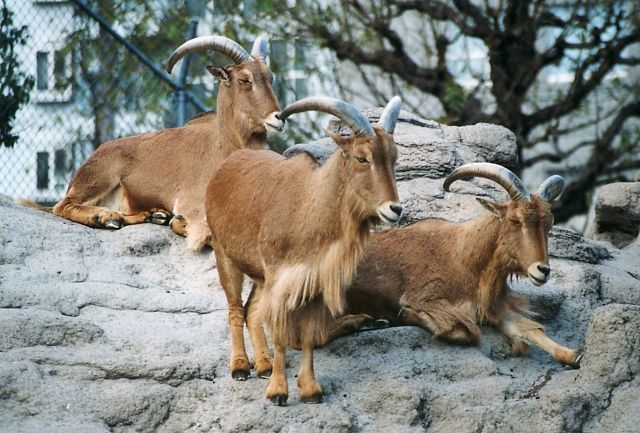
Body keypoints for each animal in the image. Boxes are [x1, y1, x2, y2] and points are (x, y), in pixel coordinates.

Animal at [20, 35, 282, 251]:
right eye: (244, 79)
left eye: (270, 78)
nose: (278, 118)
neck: (225, 147)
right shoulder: (193, 204)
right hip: (99, 177)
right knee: (62, 206)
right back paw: (106, 218)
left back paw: (152, 215)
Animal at [208, 96, 402, 404]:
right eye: (362, 157)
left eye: (394, 158)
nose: (394, 209)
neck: (309, 209)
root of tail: (228, 163)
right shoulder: (281, 280)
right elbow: (280, 333)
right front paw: (278, 391)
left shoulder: (313, 282)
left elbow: (309, 334)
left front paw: (310, 389)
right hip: (225, 256)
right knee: (236, 309)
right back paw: (240, 366)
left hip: (260, 274)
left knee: (252, 310)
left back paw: (263, 364)